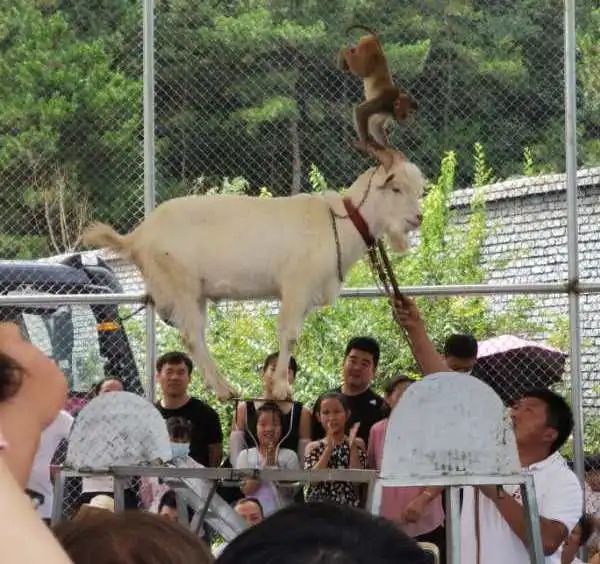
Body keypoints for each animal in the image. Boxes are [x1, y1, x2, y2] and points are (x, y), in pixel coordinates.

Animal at [84, 148, 424, 398]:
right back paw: (224, 390)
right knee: (192, 334)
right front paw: (281, 389)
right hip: (181, 284)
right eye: (396, 188)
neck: (338, 223)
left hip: (195, 293)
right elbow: (289, 334)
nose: (418, 217)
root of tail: (137, 236)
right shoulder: (296, 286)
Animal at [338, 25, 418, 153]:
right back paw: (344, 51)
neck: (393, 104)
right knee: (361, 69)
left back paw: (349, 53)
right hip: (369, 50)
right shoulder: (384, 101)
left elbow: (376, 126)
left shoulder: (386, 111)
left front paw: (387, 146)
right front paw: (366, 142)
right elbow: (361, 111)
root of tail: (376, 42)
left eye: (413, 113)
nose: (411, 120)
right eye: (409, 112)